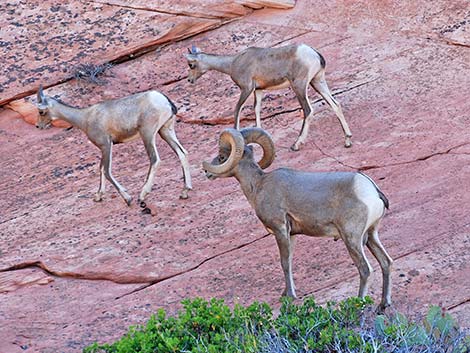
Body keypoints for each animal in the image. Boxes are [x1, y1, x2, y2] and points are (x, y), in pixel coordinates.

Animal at [35, 85, 192, 206]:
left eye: (41, 111)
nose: (38, 126)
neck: (85, 118)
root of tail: (163, 100)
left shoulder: (106, 145)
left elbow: (106, 171)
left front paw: (127, 199)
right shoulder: (104, 148)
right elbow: (100, 169)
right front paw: (98, 196)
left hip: (147, 134)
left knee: (155, 159)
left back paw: (142, 195)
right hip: (165, 131)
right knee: (182, 153)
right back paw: (185, 191)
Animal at [185, 43, 350, 149]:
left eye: (191, 65)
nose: (190, 80)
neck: (232, 63)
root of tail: (314, 53)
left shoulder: (247, 88)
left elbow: (237, 110)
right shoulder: (259, 90)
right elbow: (256, 109)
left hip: (299, 86)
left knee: (308, 110)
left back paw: (296, 145)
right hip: (317, 81)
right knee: (335, 104)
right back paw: (347, 140)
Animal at [204, 128, 392, 310]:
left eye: (222, 157)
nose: (206, 172)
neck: (258, 185)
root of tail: (372, 190)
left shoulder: (280, 229)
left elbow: (284, 263)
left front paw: (289, 296)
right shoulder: (291, 234)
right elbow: (290, 261)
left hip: (352, 239)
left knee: (365, 269)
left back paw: (358, 305)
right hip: (371, 235)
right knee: (386, 262)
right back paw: (383, 304)